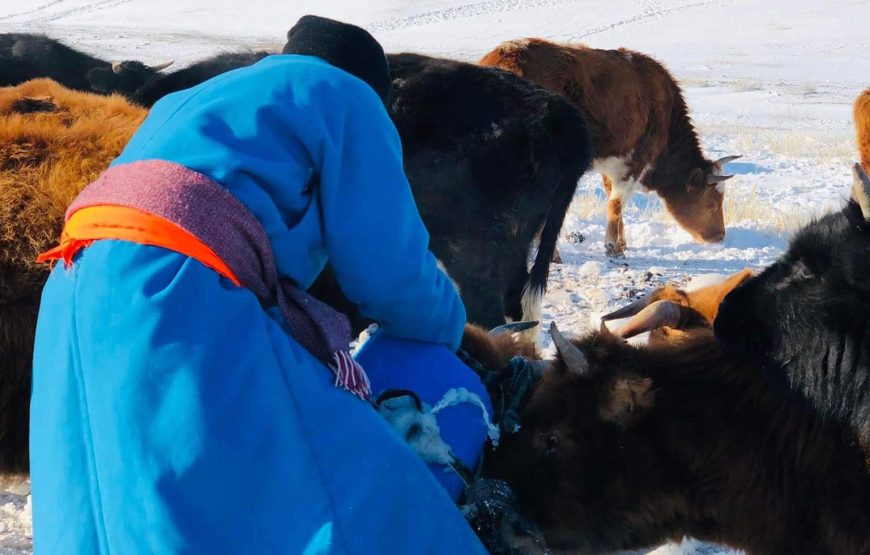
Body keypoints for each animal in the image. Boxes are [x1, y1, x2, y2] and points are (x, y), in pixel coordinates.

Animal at [480, 38, 740, 256]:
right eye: (712, 202)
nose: (720, 236)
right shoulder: (635, 159)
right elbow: (617, 201)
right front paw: (613, 246)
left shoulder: (612, 162)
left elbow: (611, 197)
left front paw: (621, 242)